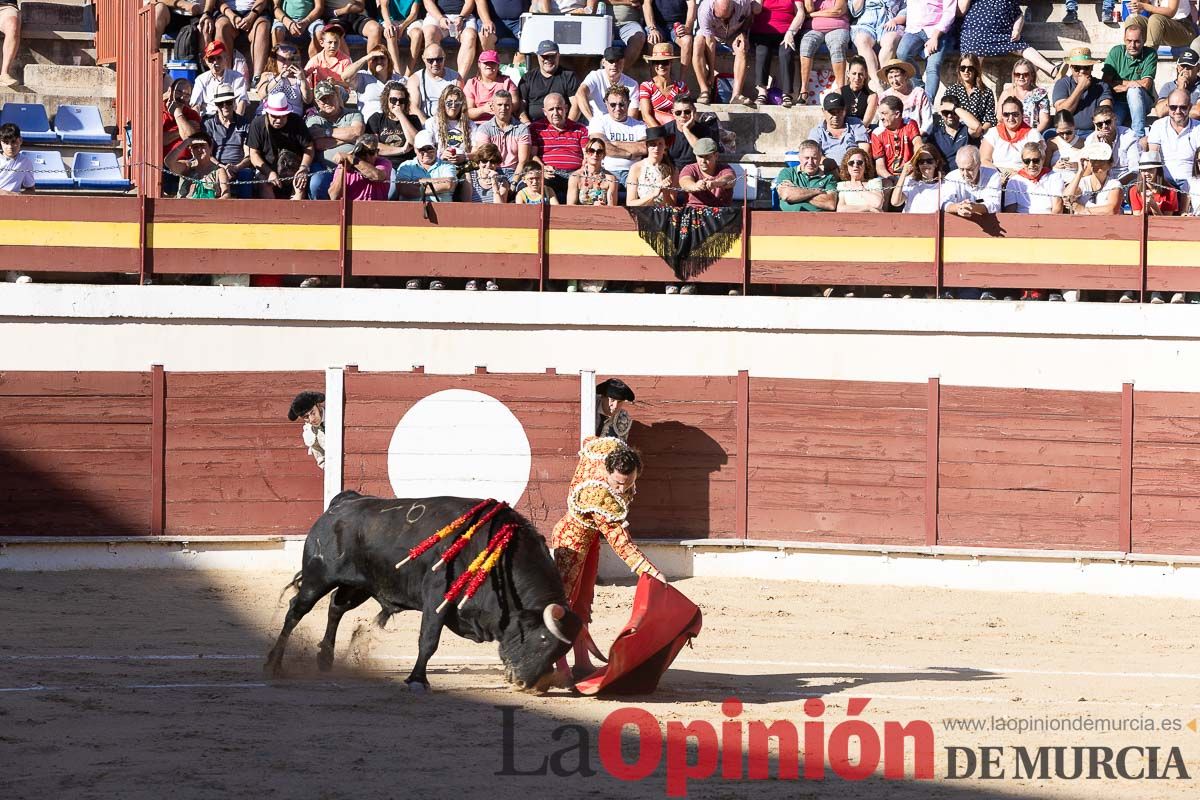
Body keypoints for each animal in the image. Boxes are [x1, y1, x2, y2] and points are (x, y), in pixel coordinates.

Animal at [265, 491, 583, 690]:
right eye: (543, 639)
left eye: (562, 650)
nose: (525, 684)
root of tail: (343, 503)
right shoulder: (437, 598)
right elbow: (428, 640)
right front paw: (417, 680)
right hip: (318, 577)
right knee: (296, 610)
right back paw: (275, 663)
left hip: (359, 585)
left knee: (335, 607)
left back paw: (325, 660)